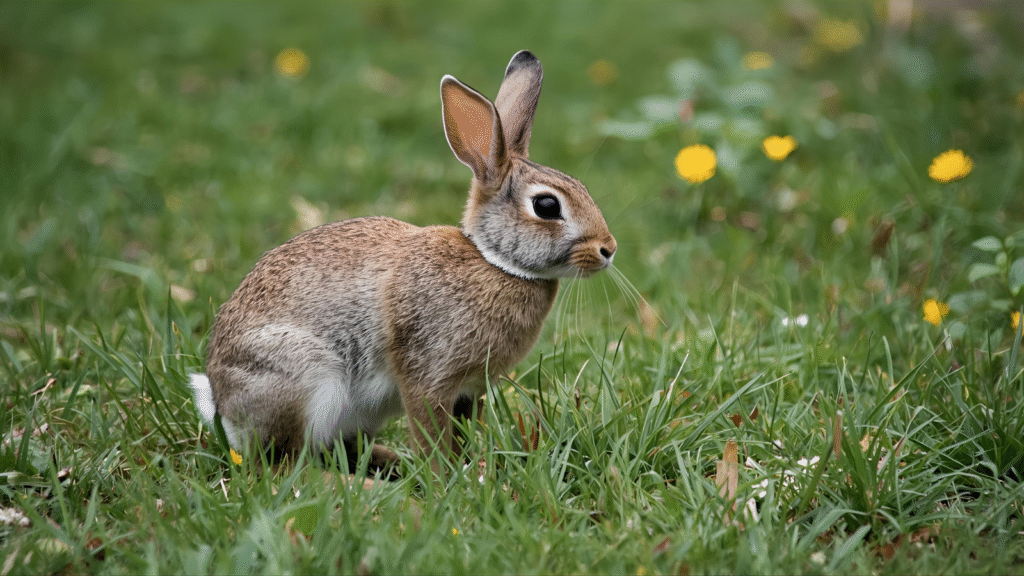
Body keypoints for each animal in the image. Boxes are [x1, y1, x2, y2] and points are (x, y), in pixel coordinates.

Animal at [189, 50, 617, 475]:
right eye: (546, 206)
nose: (608, 249)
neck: (494, 261)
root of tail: (221, 405)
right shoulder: (429, 376)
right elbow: (432, 432)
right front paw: (444, 478)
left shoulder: (469, 391)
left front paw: (471, 469)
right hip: (303, 377)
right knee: (287, 468)